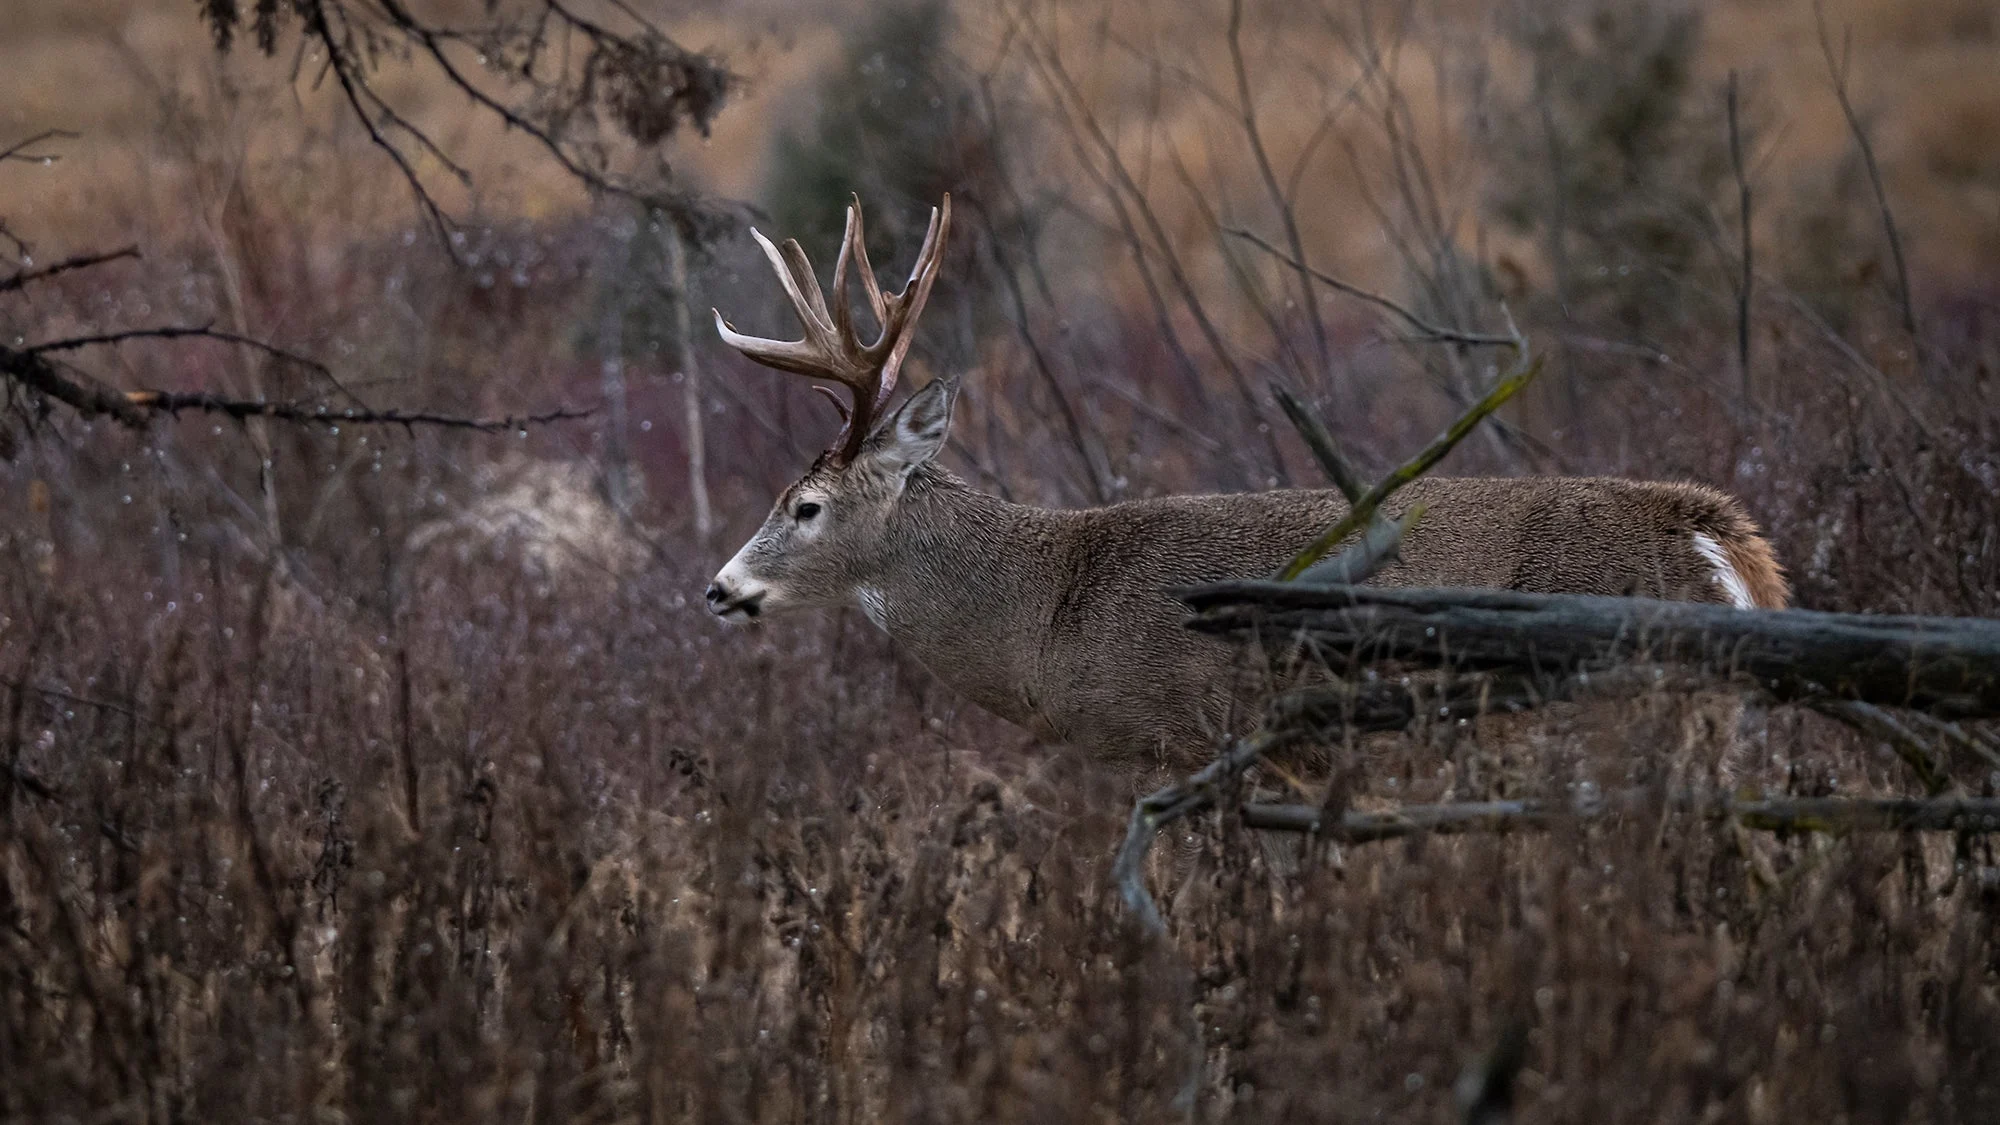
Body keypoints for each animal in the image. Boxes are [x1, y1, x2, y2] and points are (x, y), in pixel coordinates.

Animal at [703, 195, 1790, 772]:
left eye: (803, 506)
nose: (717, 588)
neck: (1049, 615)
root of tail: (1716, 544)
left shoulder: (1187, 740)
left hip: (1610, 719)